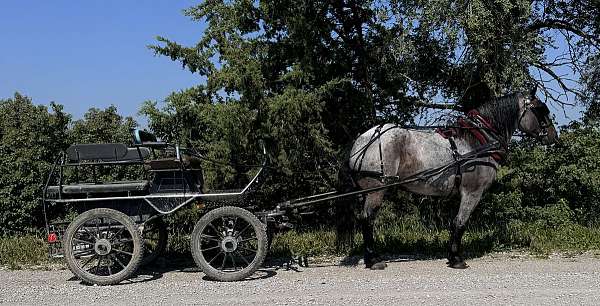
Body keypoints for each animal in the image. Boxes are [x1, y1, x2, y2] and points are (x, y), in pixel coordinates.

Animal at [338, 90, 556, 270]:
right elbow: (460, 223)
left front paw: (452, 256)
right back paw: (374, 260)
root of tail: (362, 140)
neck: (477, 141)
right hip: (376, 190)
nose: (553, 137)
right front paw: (457, 259)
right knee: (368, 219)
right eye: (540, 110)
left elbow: (454, 223)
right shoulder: (472, 193)